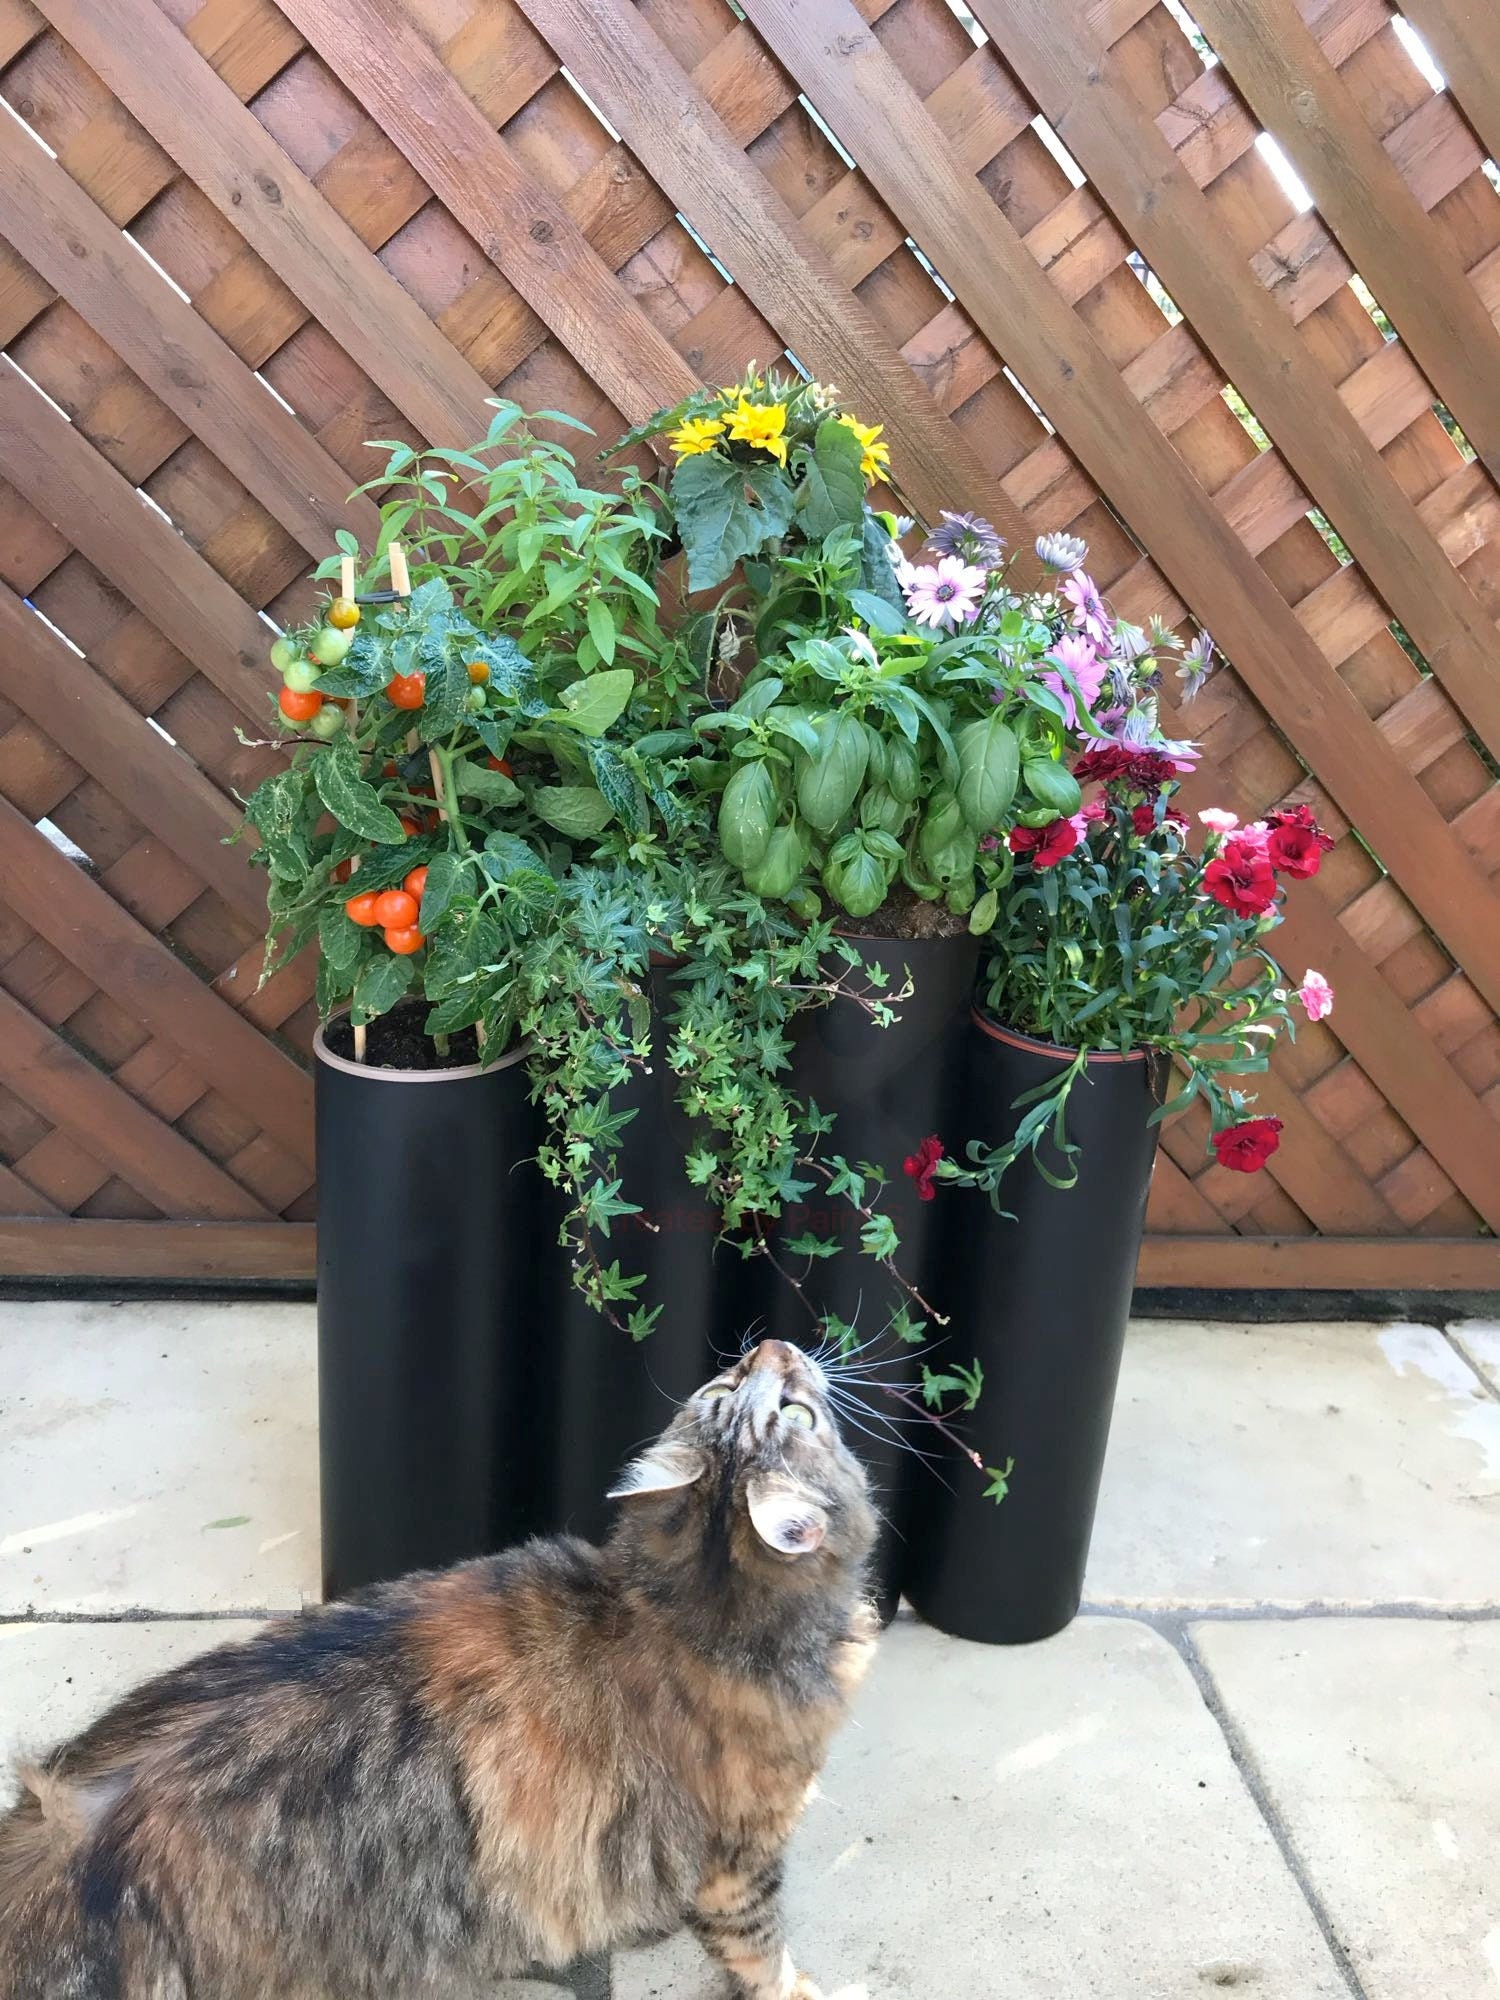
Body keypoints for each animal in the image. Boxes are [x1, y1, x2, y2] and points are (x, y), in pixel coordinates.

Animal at [0, 1336, 880, 1992]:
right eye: (742, 1388)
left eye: (780, 1401)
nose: (770, 1345)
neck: (688, 1602)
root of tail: (75, 1821)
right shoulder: (742, 1857)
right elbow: (762, 1948)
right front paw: (799, 1989)